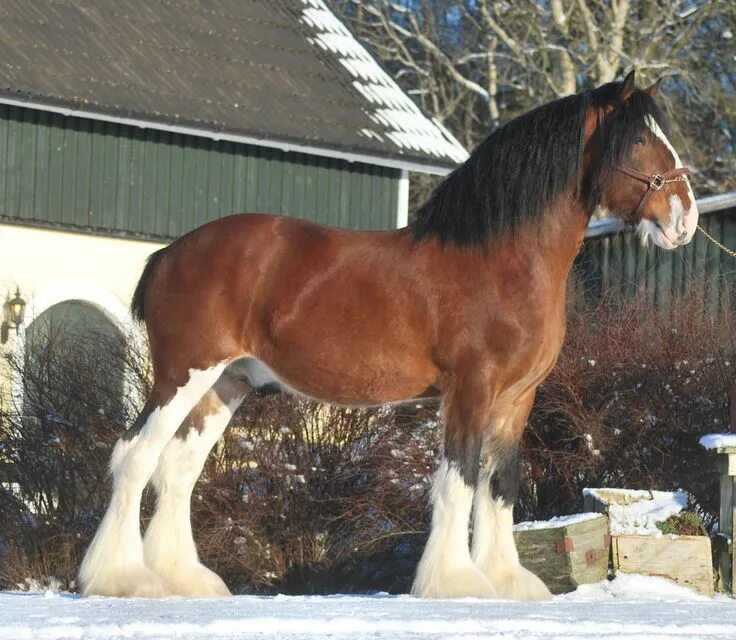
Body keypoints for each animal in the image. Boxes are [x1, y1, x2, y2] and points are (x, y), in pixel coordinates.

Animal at [79, 70, 696, 600]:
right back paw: (119, 577)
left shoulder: (517, 398)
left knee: (177, 470)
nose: (685, 219)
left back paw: (185, 579)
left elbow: (500, 484)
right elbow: (458, 479)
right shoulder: (470, 389)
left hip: (225, 384)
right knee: (134, 457)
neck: (501, 260)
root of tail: (169, 253)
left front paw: (508, 582)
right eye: (639, 140)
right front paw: (455, 581)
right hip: (183, 374)